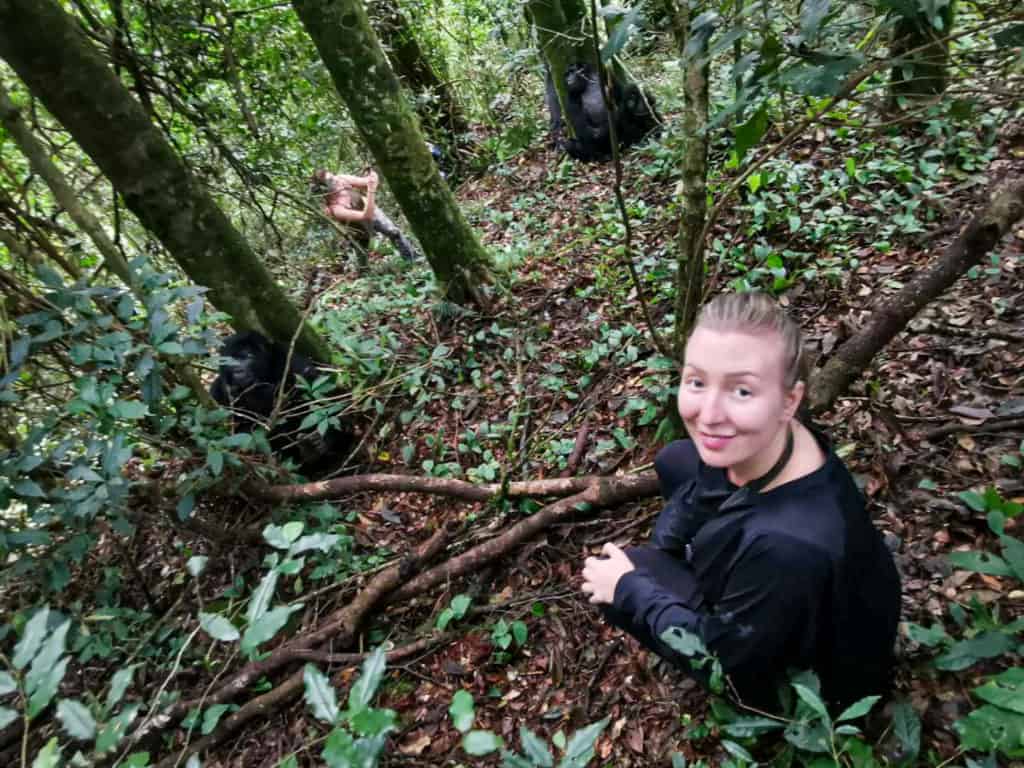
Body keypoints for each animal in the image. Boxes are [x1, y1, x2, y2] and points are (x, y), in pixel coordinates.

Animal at [207, 331, 352, 475]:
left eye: (248, 356)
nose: (237, 371)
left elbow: (320, 395)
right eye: (229, 360)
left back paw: (314, 448)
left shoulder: (292, 363)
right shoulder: (218, 390)